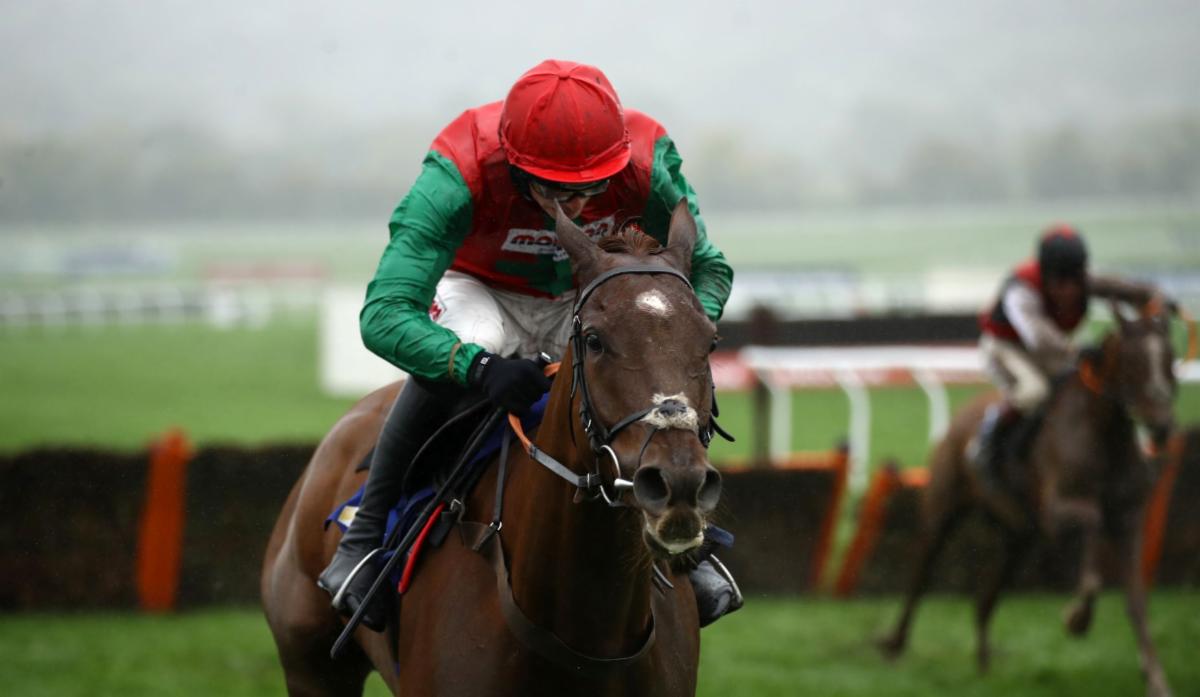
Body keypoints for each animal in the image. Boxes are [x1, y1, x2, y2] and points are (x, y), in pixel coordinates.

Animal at [877, 300, 1181, 697]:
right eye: (1132, 361)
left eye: (1170, 358)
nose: (1161, 426)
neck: (1103, 435)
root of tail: (962, 417)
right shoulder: (1056, 513)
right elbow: (1092, 531)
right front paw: (1077, 618)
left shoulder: (1128, 521)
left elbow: (1137, 601)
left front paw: (1157, 680)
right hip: (943, 511)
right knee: (920, 575)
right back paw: (895, 645)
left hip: (1019, 536)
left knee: (985, 599)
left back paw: (985, 668)